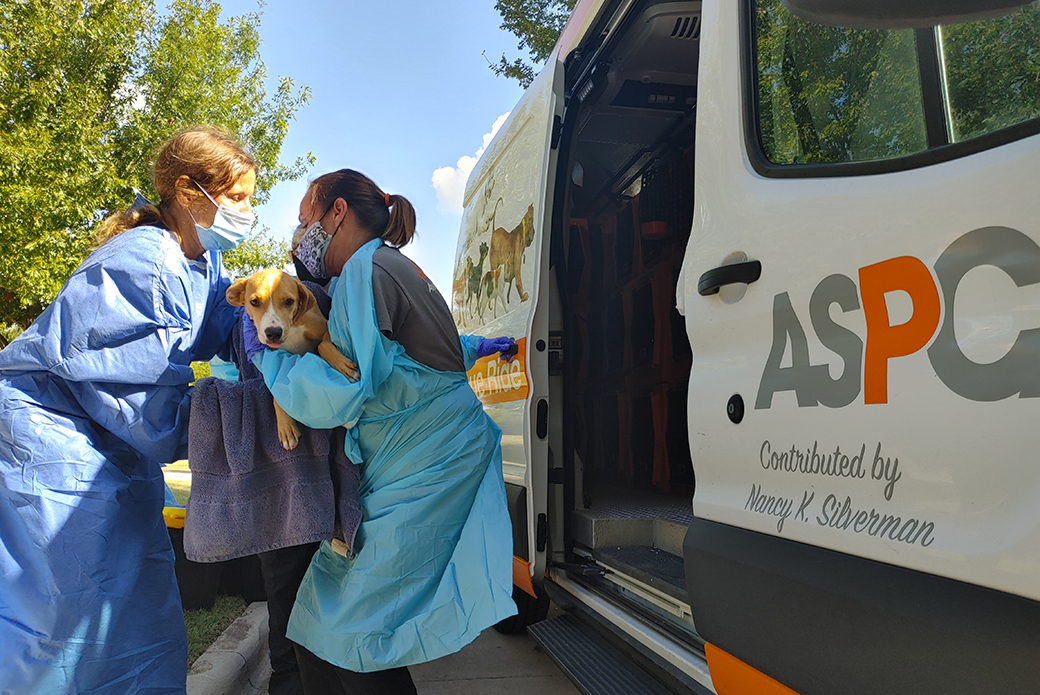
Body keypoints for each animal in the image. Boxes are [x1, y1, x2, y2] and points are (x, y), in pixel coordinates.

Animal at [225, 268, 359, 453]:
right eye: (254, 302)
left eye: (289, 301)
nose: (273, 332)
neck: (292, 328)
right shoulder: (276, 357)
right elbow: (276, 393)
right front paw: (286, 427)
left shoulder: (325, 330)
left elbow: (322, 346)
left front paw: (345, 367)